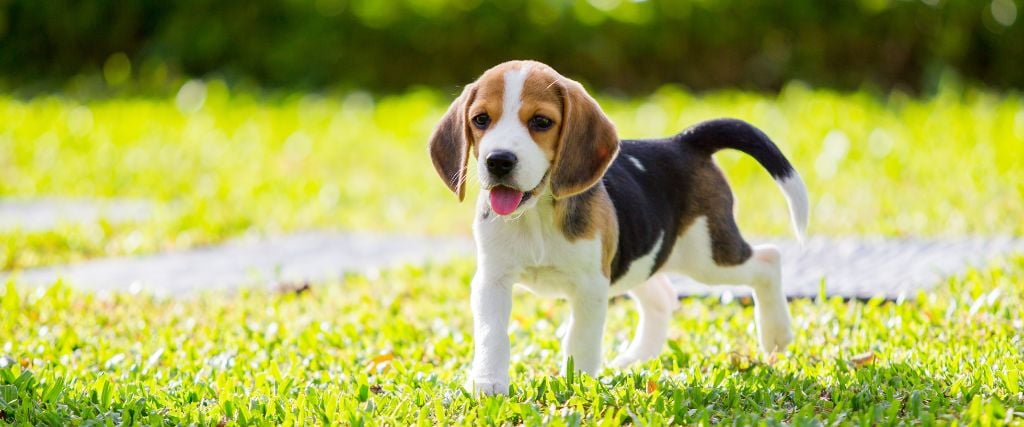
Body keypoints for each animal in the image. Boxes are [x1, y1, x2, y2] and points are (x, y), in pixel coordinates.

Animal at [430, 59, 806, 393]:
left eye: (541, 121)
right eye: (481, 119)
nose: (498, 161)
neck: (536, 215)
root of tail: (681, 142)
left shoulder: (591, 285)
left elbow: (580, 339)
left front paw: (577, 384)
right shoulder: (492, 280)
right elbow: (492, 334)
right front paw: (488, 383)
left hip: (707, 255)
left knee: (768, 260)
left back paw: (776, 334)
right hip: (641, 258)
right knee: (662, 296)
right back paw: (635, 359)